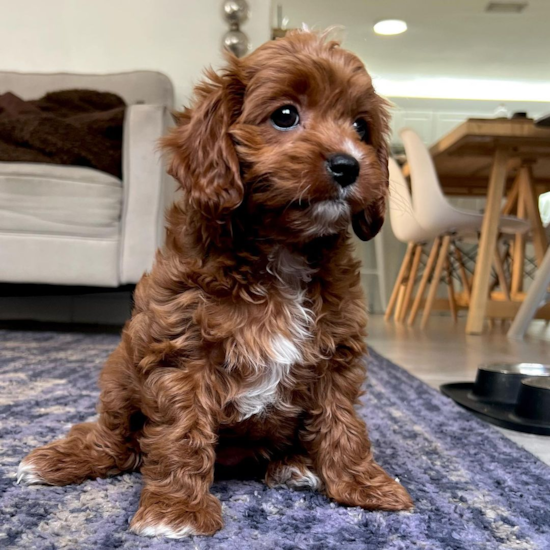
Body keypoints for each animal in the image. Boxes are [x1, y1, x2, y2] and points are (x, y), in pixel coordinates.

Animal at [17, 29, 414, 540]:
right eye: (285, 115)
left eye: (362, 127)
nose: (349, 165)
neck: (282, 250)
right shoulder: (181, 349)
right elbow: (181, 431)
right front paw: (176, 511)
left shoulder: (336, 354)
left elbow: (342, 422)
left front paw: (364, 484)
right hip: (120, 374)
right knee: (115, 437)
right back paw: (60, 460)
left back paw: (295, 464)